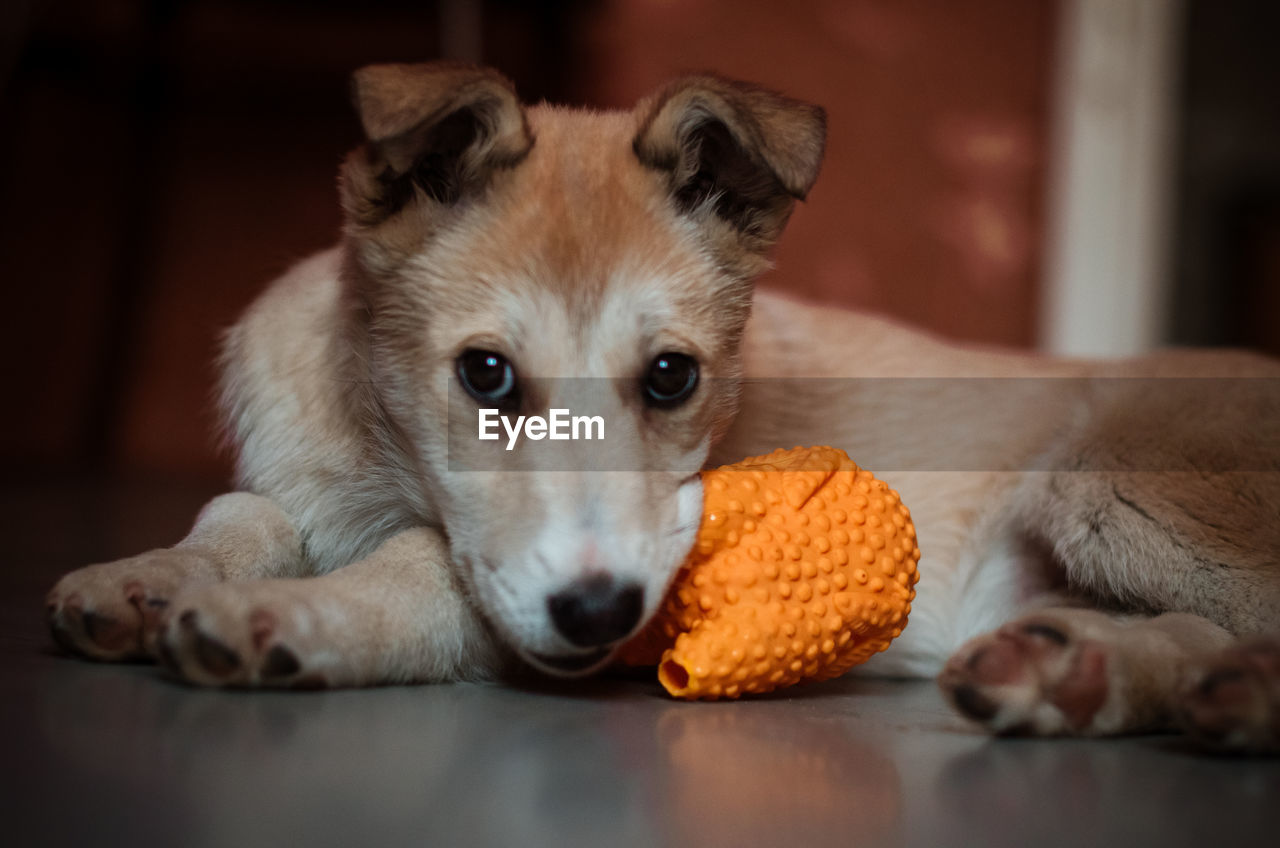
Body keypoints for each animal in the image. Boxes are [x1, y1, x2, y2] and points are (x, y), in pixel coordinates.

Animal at [47, 63, 1280, 753]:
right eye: (484, 375)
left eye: (672, 378)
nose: (600, 612)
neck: (378, 465)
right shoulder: (295, 480)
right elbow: (238, 515)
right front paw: (142, 580)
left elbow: (417, 573)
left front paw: (287, 618)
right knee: (1206, 634)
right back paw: (1091, 676)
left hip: (1114, 474)